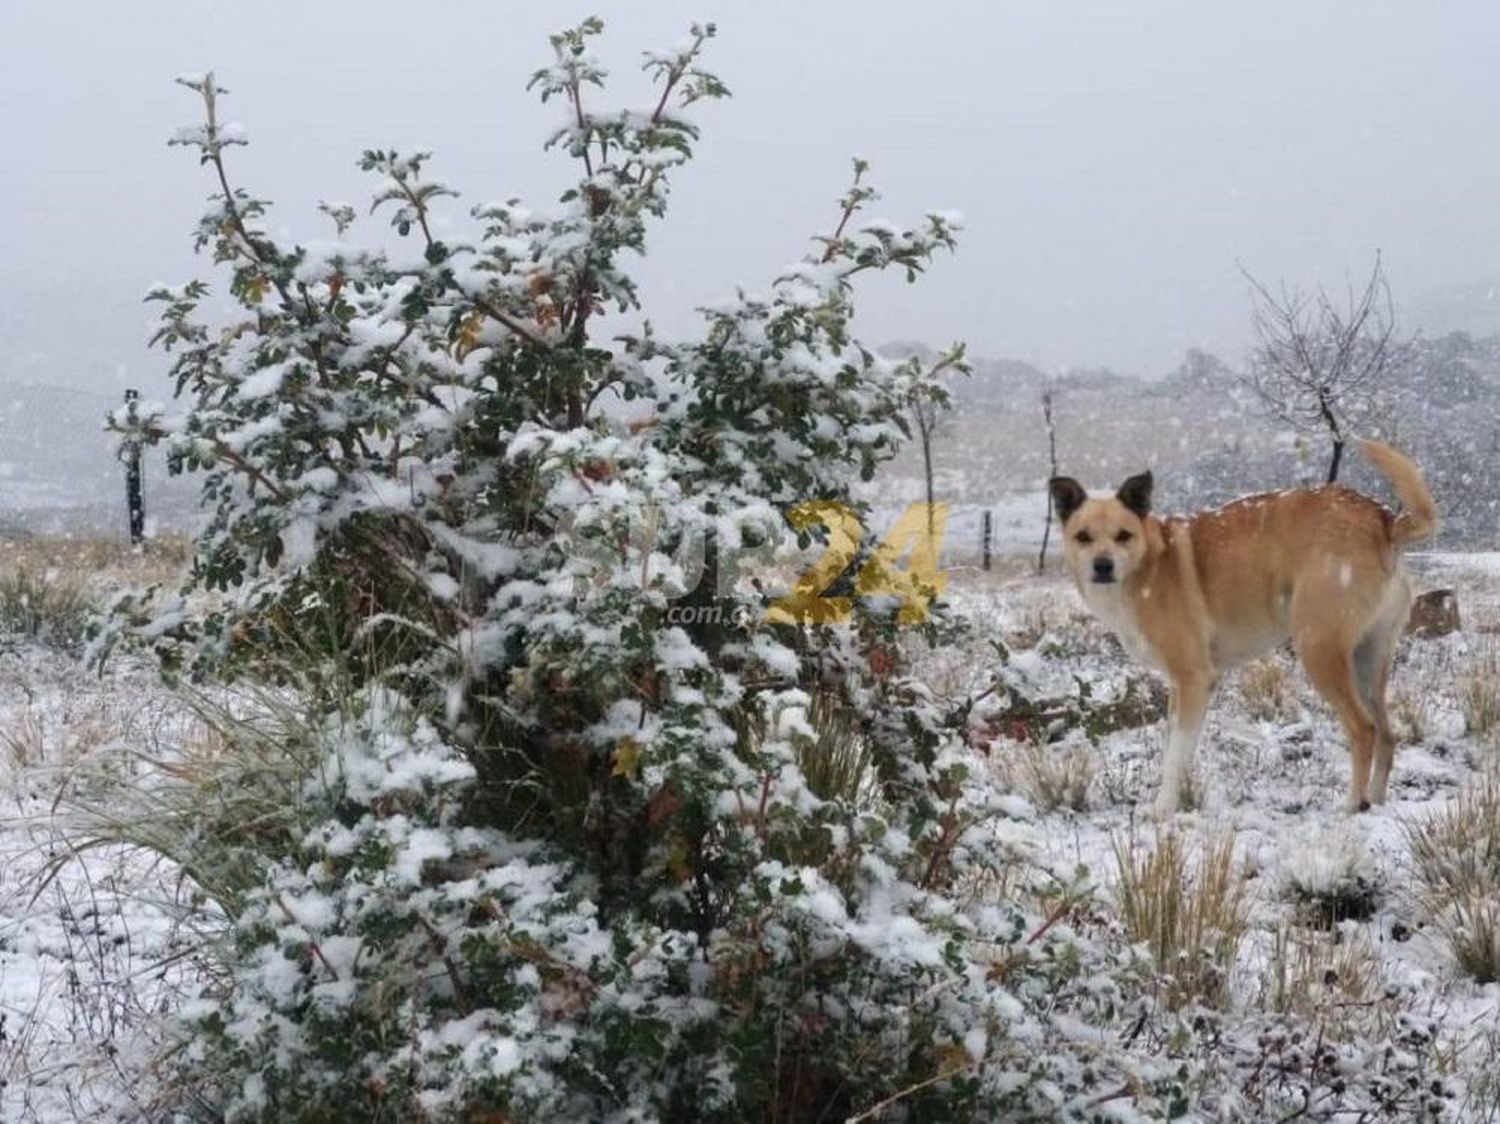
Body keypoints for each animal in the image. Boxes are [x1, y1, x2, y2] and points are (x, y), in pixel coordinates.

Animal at [1050, 438, 1434, 816]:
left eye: (1123, 536)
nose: (1102, 566)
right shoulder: (1181, 689)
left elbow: (1174, 758)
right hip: (1368, 659)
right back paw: (1377, 801)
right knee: (1387, 734)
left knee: (1364, 729)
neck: (1148, 566)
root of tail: (1383, 519)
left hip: (1319, 649)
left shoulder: (1195, 680)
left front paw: (1162, 811)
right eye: (1083, 537)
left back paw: (1355, 804)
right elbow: (1175, 750)